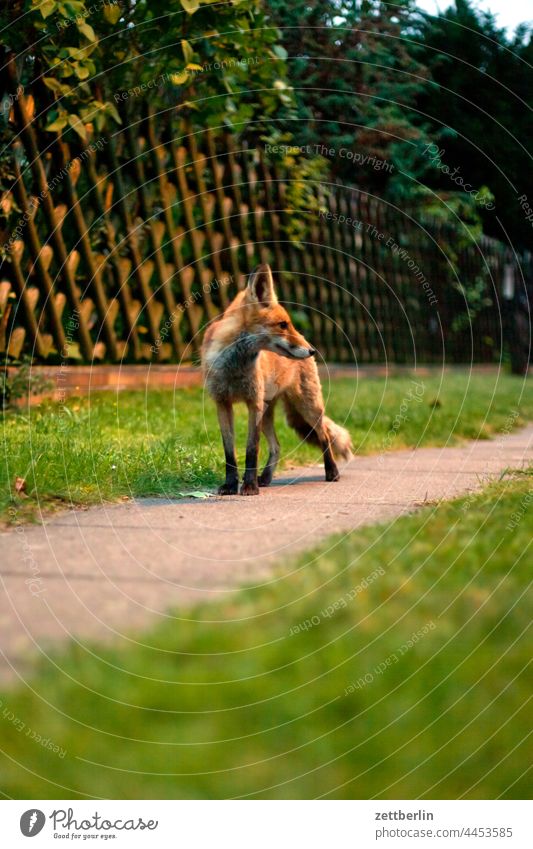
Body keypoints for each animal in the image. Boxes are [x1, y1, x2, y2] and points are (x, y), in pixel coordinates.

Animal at [202, 262, 352, 494]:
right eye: (282, 325)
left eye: (289, 323)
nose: (312, 350)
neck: (233, 367)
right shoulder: (222, 404)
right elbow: (230, 453)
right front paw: (231, 485)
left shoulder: (253, 403)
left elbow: (252, 449)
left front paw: (249, 487)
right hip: (268, 412)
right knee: (277, 446)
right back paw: (266, 478)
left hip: (307, 407)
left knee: (324, 436)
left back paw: (332, 472)